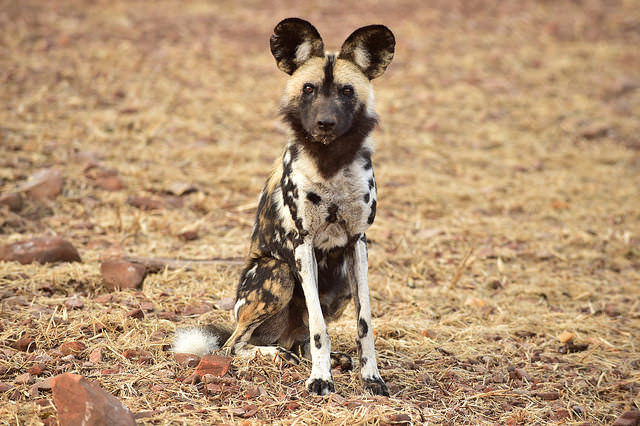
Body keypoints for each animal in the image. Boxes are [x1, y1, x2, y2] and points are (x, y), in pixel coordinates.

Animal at [175, 16, 396, 396]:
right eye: (308, 89)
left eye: (346, 91)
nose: (325, 122)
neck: (330, 162)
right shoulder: (302, 245)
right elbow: (320, 329)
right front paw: (321, 379)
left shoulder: (357, 243)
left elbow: (364, 323)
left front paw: (371, 378)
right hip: (276, 274)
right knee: (234, 345)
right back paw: (277, 355)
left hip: (340, 280)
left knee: (301, 338)